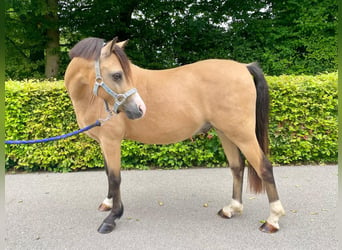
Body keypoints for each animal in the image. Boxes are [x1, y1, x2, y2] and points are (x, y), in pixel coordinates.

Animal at [65, 36, 286, 234]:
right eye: (118, 75)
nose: (140, 108)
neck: (91, 98)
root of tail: (243, 67)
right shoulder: (104, 142)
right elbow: (107, 173)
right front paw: (108, 203)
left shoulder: (111, 142)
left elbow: (115, 177)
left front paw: (112, 218)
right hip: (225, 132)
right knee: (237, 167)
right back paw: (231, 209)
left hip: (243, 135)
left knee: (264, 167)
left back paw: (272, 220)